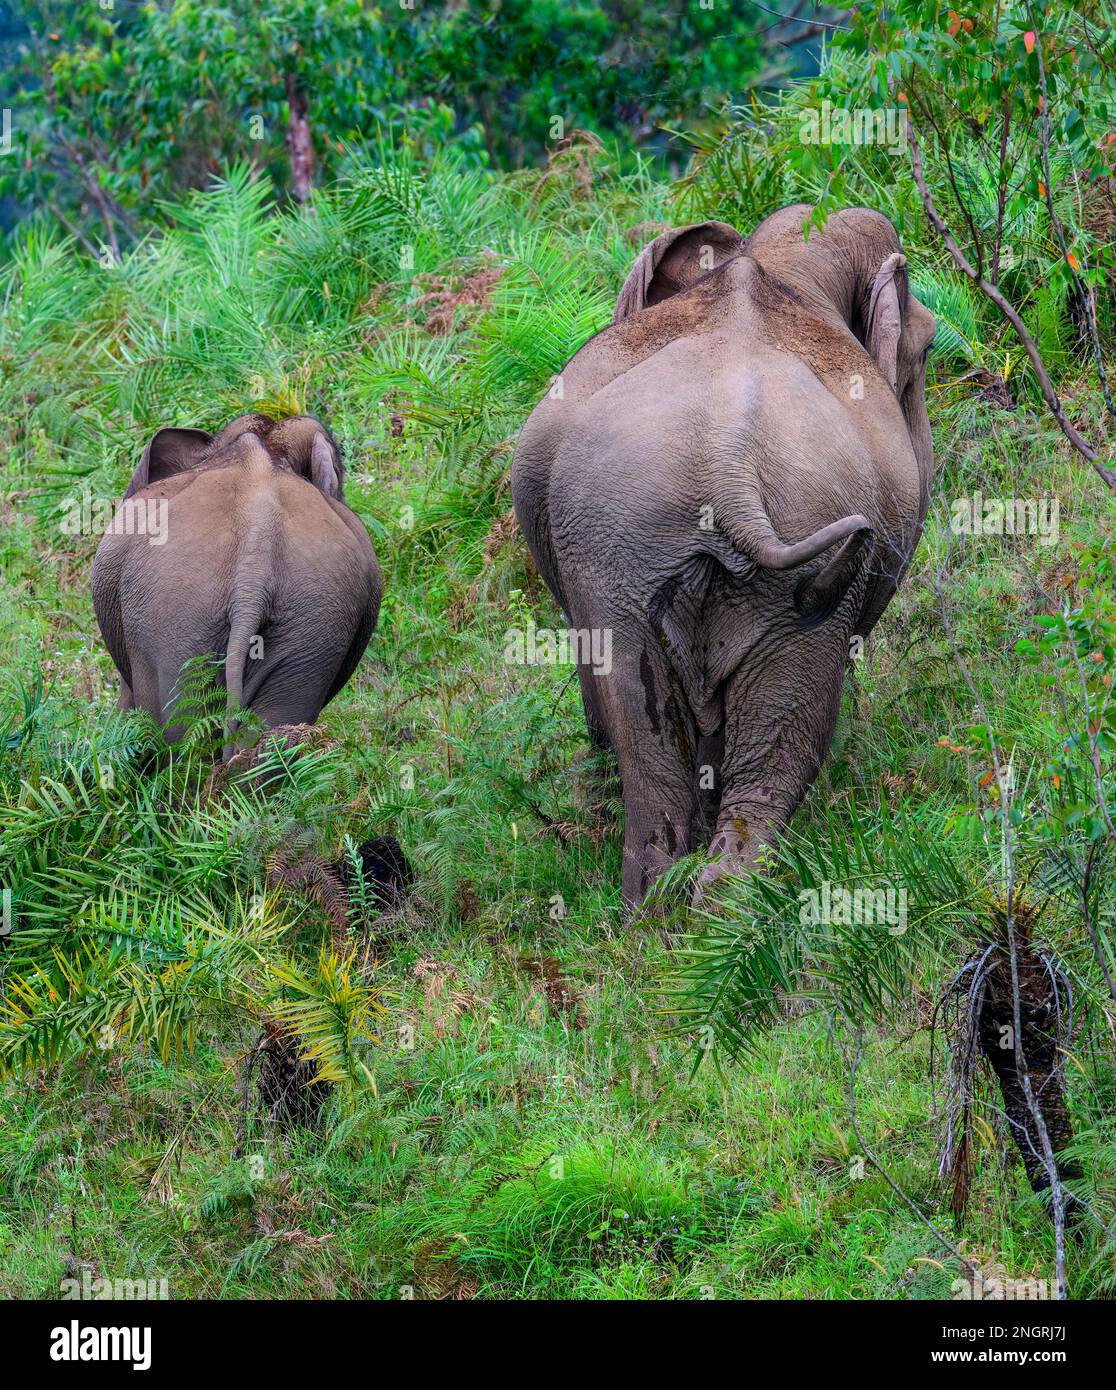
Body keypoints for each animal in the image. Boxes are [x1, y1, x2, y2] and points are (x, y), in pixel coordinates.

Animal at [514, 202, 933, 900]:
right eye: (926, 346)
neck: (778, 267)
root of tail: (726, 460)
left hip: (624, 567)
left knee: (650, 745)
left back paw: (667, 911)